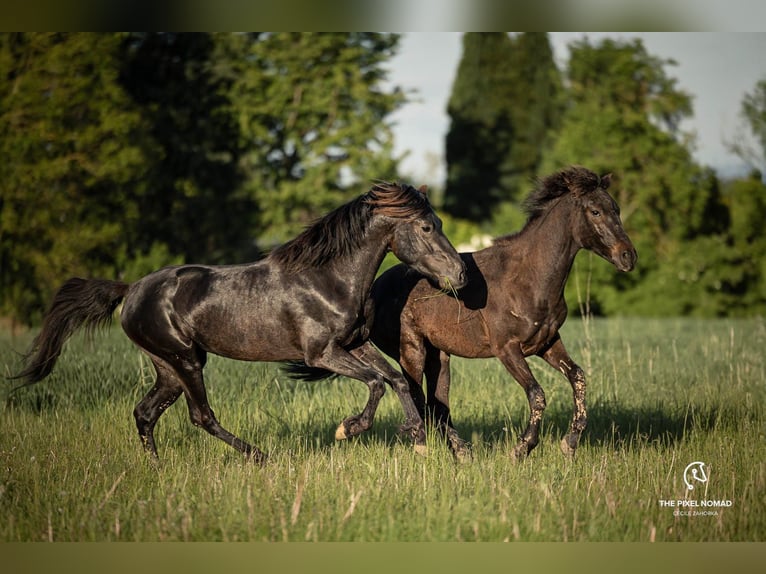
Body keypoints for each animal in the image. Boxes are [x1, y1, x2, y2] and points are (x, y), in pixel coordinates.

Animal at [13, 183, 468, 464]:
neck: (326, 279)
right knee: (200, 416)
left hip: (168, 365)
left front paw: (417, 438)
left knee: (145, 413)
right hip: (184, 360)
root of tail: (132, 289)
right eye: (427, 226)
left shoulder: (355, 344)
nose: (461, 275)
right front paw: (348, 428)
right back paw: (259, 456)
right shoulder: (321, 354)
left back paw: (156, 469)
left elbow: (396, 379)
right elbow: (377, 383)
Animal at [368, 168, 640, 464]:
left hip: (438, 356)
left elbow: (577, 377)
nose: (628, 256)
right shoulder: (507, 349)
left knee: (437, 405)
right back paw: (427, 450)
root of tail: (375, 288)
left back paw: (462, 453)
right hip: (411, 351)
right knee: (417, 398)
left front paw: (570, 443)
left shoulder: (546, 343)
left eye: (616, 208)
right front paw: (522, 448)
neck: (528, 278)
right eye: (595, 211)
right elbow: (537, 394)